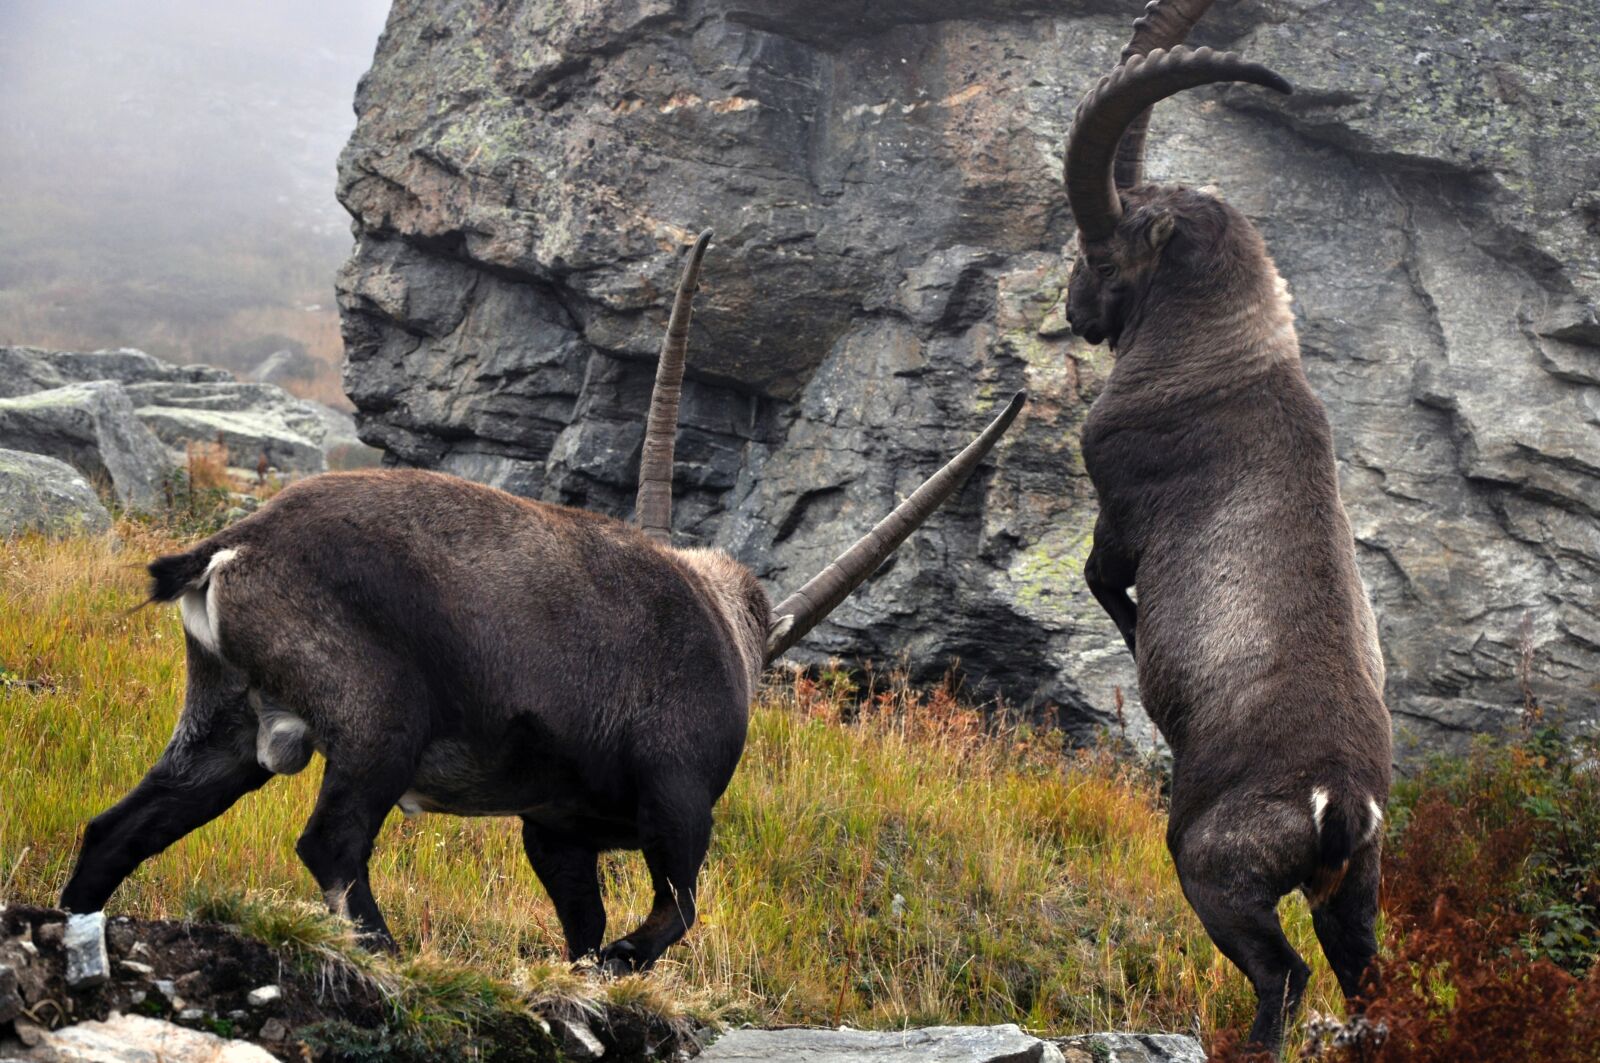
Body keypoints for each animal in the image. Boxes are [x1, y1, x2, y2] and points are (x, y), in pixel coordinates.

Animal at [60, 231, 1026, 973]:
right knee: (330, 843)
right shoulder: (679, 803)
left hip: (226, 730)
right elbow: (674, 911)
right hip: (378, 723)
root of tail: (233, 547)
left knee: (118, 828)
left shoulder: (556, 830)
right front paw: (619, 964)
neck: (721, 622)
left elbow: (585, 921)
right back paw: (391, 955)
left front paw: (591, 966)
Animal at [1060, 10, 1393, 1053]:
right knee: (1363, 973)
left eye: (1103, 251)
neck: (1226, 359)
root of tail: (1341, 800)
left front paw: (1136, 647)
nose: (1074, 311)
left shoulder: (1123, 507)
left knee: (1282, 973)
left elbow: (1105, 581)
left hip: (1212, 868)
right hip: (1355, 890)